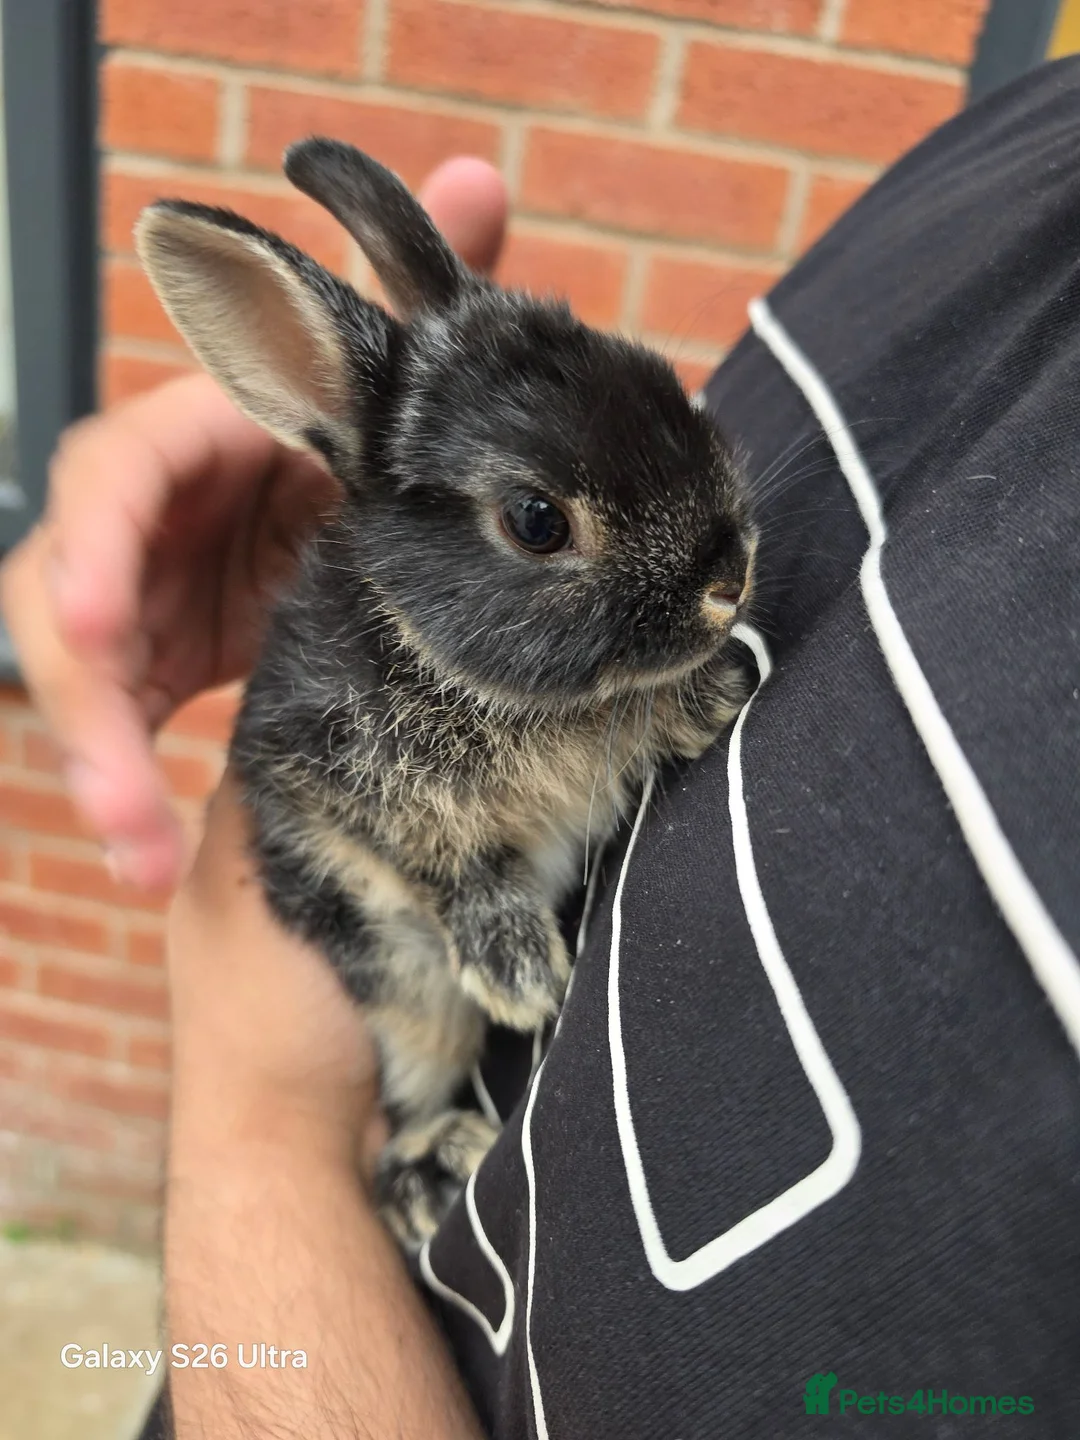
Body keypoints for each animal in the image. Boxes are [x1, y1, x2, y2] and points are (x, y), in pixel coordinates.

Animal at [135, 139, 757, 1249]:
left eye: (656, 376)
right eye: (537, 521)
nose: (731, 575)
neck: (446, 662)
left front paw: (709, 693)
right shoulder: (343, 814)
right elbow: (453, 872)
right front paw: (524, 978)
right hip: (402, 988)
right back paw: (435, 1169)